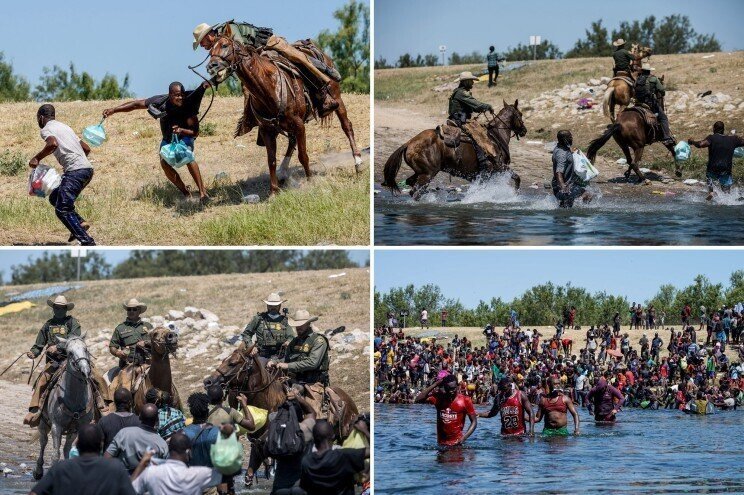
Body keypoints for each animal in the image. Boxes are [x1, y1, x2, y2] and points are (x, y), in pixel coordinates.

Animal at [33, 334, 96, 480]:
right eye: (70, 353)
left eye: (85, 349)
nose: (85, 371)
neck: (74, 399)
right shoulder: (56, 426)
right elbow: (55, 454)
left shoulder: (77, 428)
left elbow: (67, 449)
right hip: (43, 423)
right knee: (43, 442)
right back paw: (38, 471)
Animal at [206, 25, 364, 196]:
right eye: (210, 50)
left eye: (224, 45)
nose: (211, 66)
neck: (268, 87)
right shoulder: (267, 130)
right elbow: (271, 160)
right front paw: (273, 192)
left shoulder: (299, 125)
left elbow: (303, 156)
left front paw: (311, 182)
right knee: (292, 140)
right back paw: (282, 172)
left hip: (337, 99)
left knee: (347, 126)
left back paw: (358, 163)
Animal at [380, 101, 528, 200]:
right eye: (520, 114)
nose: (524, 130)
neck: (495, 136)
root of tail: (408, 143)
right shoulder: (498, 167)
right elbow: (517, 178)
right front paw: (514, 196)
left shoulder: (483, 175)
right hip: (427, 174)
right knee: (416, 192)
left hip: (420, 172)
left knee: (411, 185)